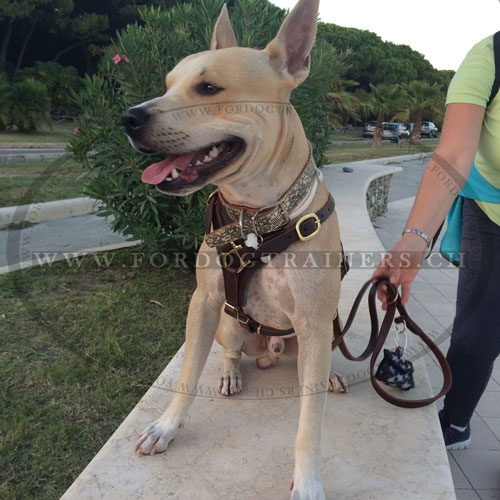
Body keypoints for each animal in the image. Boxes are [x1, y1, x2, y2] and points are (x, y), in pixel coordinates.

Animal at [123, 1, 346, 498]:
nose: (128, 118)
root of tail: (269, 349)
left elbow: (311, 420)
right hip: (230, 323)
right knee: (229, 349)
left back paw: (330, 373)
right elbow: (188, 374)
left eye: (208, 88)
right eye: (167, 85)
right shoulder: (204, 302)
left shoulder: (314, 321)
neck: (255, 218)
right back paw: (230, 372)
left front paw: (308, 481)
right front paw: (167, 426)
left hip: (327, 329)